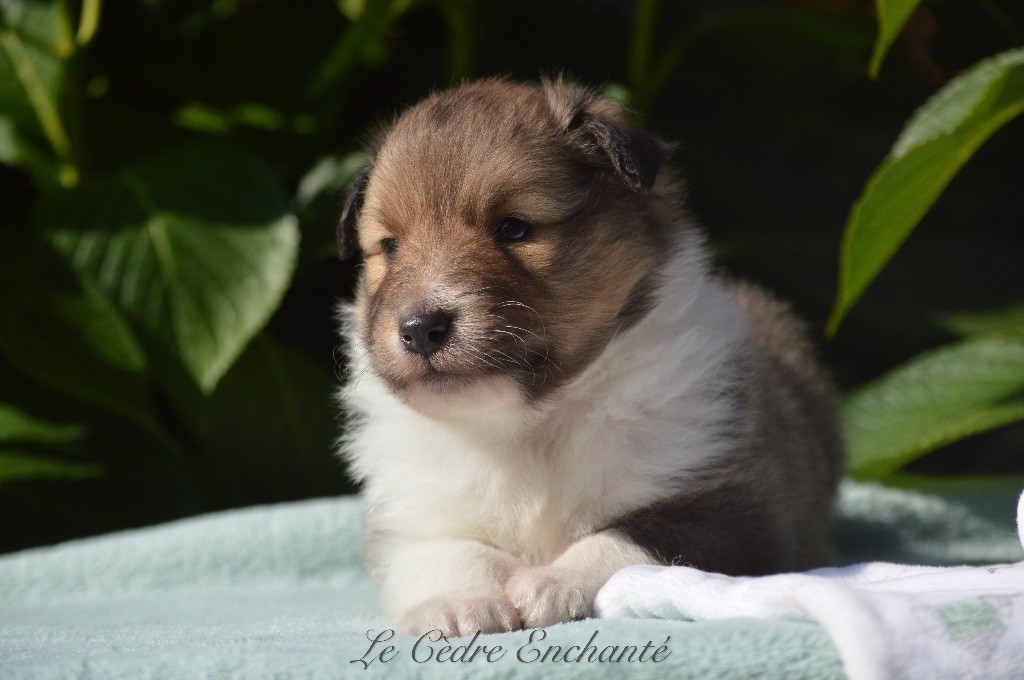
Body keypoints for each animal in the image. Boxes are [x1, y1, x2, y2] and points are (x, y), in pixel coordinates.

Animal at [335, 76, 839, 634]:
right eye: (390, 246)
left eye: (513, 228)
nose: (420, 329)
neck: (527, 427)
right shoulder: (410, 519)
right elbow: (447, 552)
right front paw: (459, 603)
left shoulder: (738, 506)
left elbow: (628, 538)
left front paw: (552, 582)